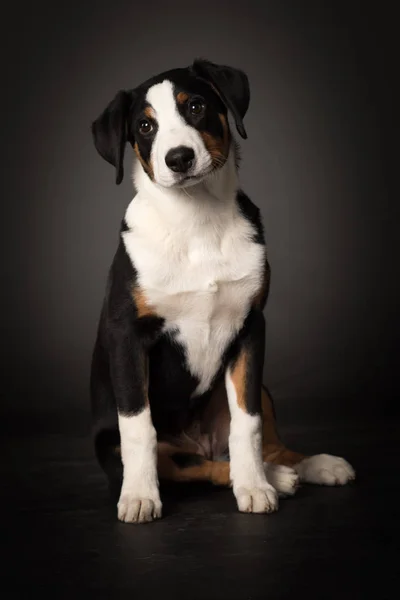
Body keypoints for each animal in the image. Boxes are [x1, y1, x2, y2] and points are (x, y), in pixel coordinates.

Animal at [89, 58, 354, 524]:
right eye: (144, 126)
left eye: (195, 105)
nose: (179, 158)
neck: (196, 220)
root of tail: (198, 441)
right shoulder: (127, 337)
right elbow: (138, 427)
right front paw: (138, 495)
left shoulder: (250, 328)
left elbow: (247, 422)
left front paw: (254, 486)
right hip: (124, 445)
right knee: (194, 466)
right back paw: (277, 478)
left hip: (258, 391)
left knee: (254, 444)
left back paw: (303, 466)